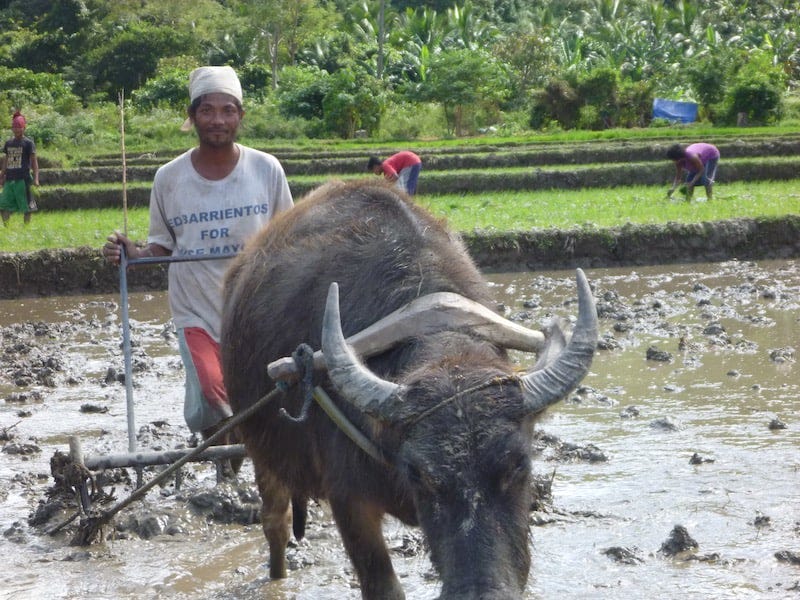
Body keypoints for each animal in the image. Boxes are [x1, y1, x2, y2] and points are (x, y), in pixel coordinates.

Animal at [222, 182, 596, 600]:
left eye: (520, 464)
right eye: (419, 474)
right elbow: (382, 584)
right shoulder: (349, 500)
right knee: (276, 521)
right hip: (261, 449)